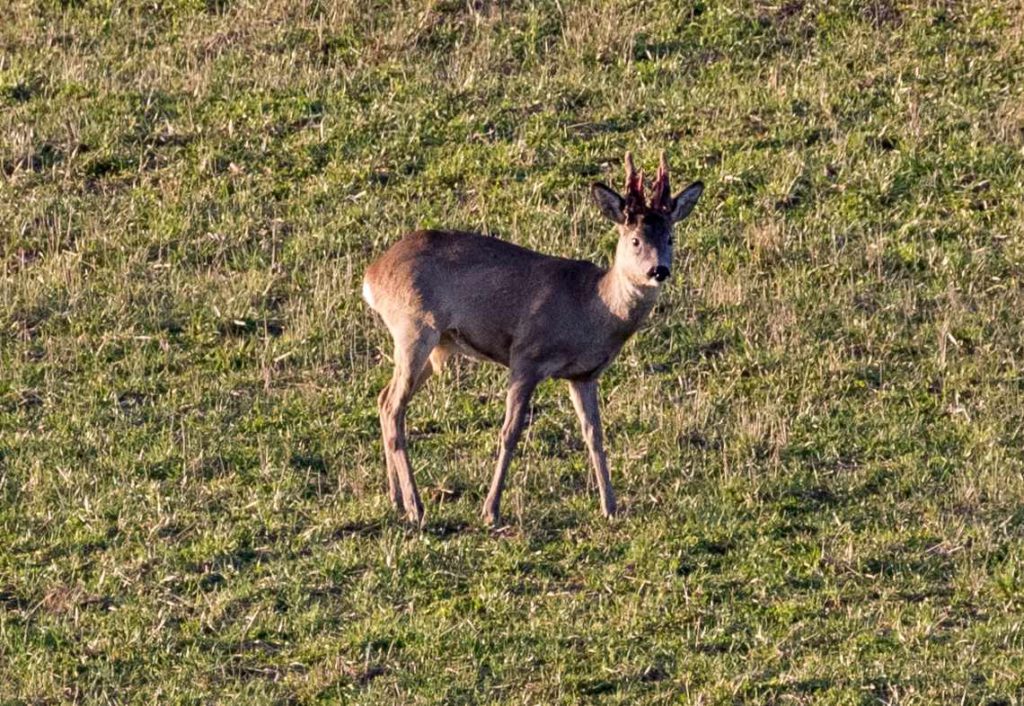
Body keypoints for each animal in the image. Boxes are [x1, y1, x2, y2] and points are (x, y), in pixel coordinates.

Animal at [362, 151, 704, 522]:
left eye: (670, 238)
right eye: (635, 240)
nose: (659, 270)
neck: (591, 308)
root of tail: (372, 275)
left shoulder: (584, 375)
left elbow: (594, 434)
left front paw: (610, 506)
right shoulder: (526, 355)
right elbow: (509, 431)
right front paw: (491, 510)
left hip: (434, 344)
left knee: (384, 399)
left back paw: (396, 498)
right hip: (413, 327)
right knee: (393, 406)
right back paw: (415, 506)